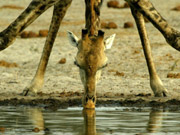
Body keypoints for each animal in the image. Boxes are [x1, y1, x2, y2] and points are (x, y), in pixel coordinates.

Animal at [0, 0, 179, 108]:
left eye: (104, 65)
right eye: (77, 64)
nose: (89, 102)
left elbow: (171, 35)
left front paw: (159, 87)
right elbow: (7, 35)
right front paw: (33, 86)